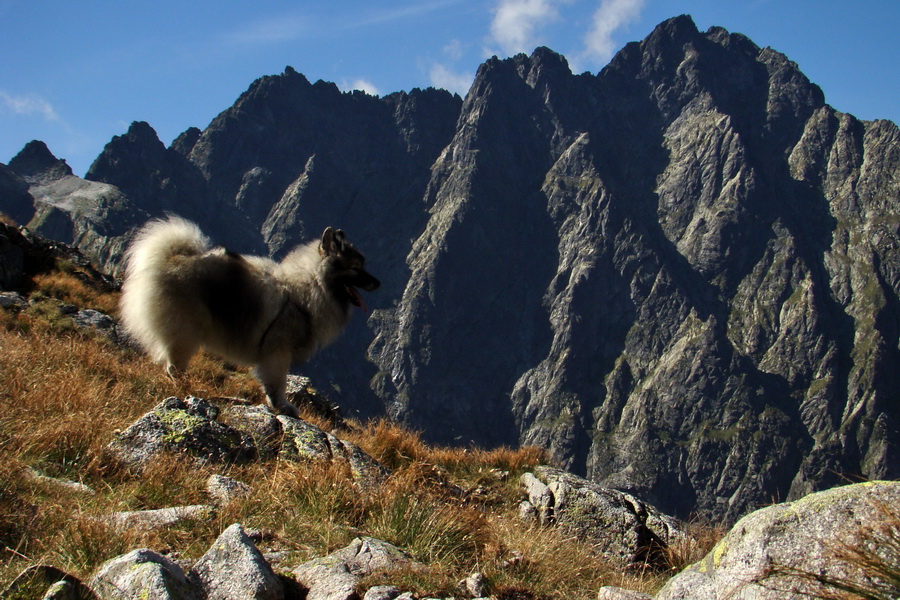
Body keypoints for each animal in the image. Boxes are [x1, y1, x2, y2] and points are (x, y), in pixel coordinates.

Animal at [118, 217, 378, 418]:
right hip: (186, 335)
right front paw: (282, 407)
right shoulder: (277, 354)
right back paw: (184, 388)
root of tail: (172, 257)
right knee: (174, 367)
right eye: (355, 268)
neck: (307, 288)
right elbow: (277, 384)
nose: (378, 283)